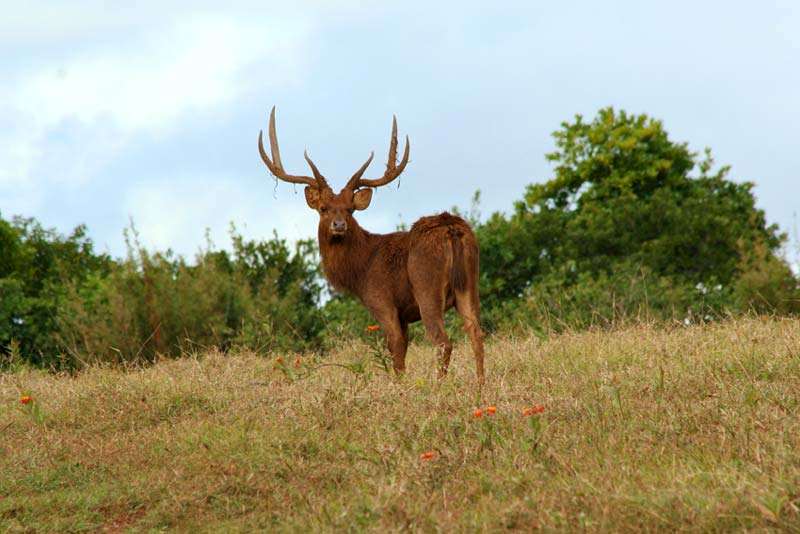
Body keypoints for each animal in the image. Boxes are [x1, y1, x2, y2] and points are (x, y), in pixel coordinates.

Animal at [260, 109, 484, 384]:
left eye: (350, 209)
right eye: (324, 208)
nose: (338, 225)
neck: (360, 269)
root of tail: (451, 228)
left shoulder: (382, 301)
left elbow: (396, 351)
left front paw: (399, 386)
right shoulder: (403, 313)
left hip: (426, 286)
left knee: (443, 341)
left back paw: (439, 386)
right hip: (470, 284)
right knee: (477, 333)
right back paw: (481, 386)